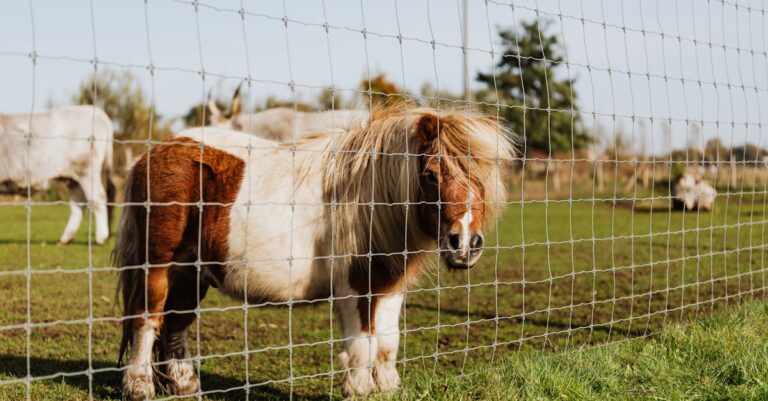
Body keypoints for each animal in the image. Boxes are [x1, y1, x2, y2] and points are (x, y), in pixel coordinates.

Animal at [0, 105, 114, 244]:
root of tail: (96, 111)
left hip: (86, 171)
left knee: (98, 198)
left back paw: (100, 238)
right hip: (73, 179)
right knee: (78, 204)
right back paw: (65, 239)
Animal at [117, 106, 512, 396]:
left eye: (483, 177)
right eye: (430, 175)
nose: (465, 243)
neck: (371, 198)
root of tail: (151, 153)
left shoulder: (390, 284)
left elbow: (387, 342)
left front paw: (386, 388)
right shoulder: (355, 287)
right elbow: (362, 344)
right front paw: (359, 389)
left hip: (189, 270)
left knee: (176, 324)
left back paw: (184, 385)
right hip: (157, 266)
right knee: (146, 320)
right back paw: (139, 387)